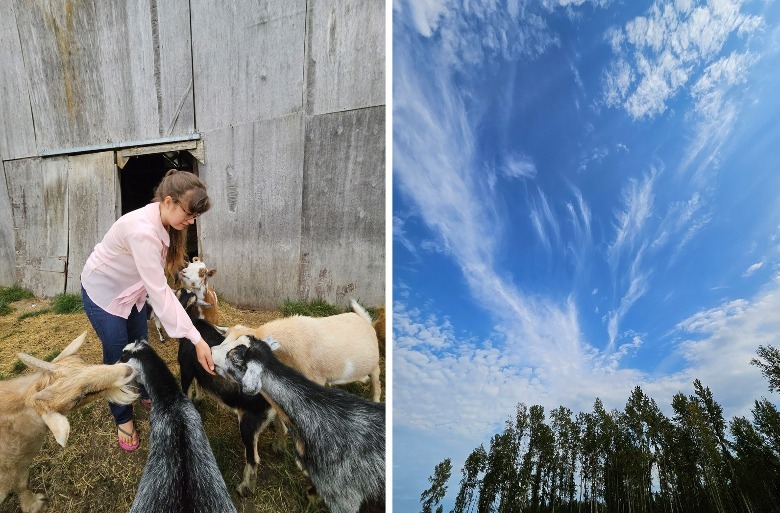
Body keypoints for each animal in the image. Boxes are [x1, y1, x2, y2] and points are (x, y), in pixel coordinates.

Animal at [0, 330, 139, 510]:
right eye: (81, 396)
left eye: (84, 362)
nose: (129, 369)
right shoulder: (14, 467)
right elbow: (21, 483)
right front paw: (35, 505)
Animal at [175, 288, 276, 496]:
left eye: (179, 292)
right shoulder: (200, 368)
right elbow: (200, 383)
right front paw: (199, 398)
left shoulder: (186, 368)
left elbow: (187, 388)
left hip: (248, 424)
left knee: (253, 459)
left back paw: (244, 487)